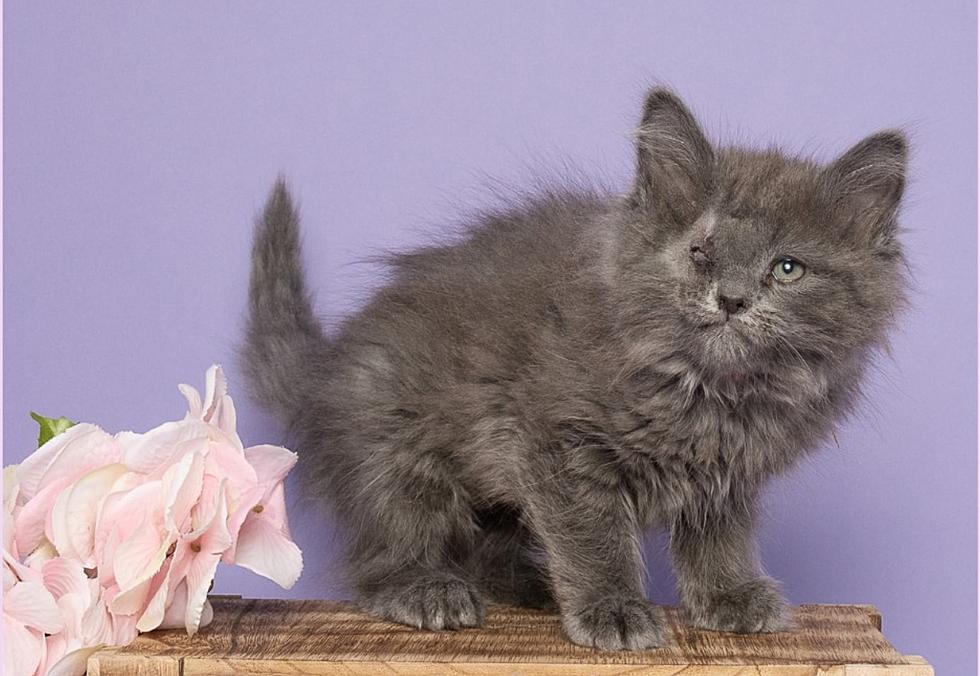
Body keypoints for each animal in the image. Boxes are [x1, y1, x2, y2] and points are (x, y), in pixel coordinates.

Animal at [241, 90, 908, 648]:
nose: (733, 299)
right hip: (394, 442)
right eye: (700, 253)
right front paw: (612, 608)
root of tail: (326, 367)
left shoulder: (728, 478)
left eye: (787, 269)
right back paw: (425, 588)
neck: (708, 393)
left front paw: (729, 595)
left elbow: (720, 537)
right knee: (384, 547)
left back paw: (533, 587)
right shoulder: (559, 446)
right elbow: (593, 535)